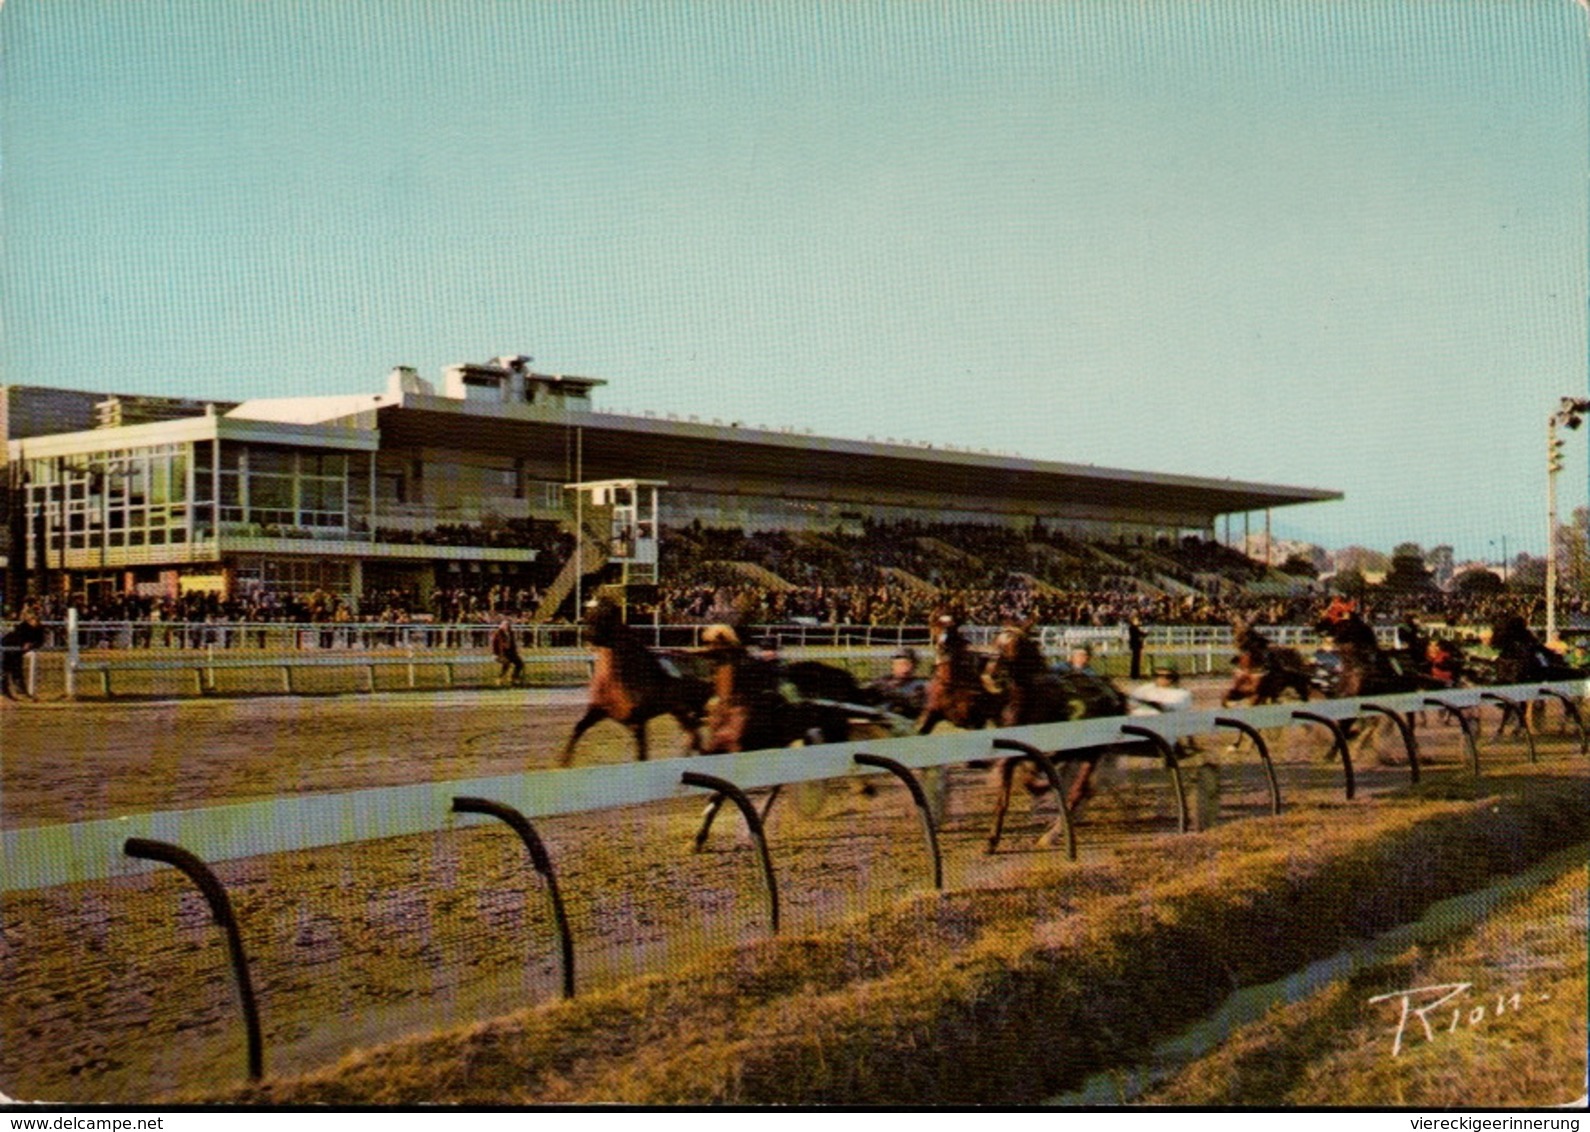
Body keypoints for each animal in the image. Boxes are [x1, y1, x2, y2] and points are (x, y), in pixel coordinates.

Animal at [559, 600, 709, 769]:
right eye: (588, 613)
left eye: (606, 615)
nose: (587, 635)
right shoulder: (598, 710)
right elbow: (579, 728)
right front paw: (564, 762)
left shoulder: (638, 721)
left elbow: (641, 755)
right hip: (679, 710)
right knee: (693, 735)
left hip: (693, 709)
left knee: (695, 733)